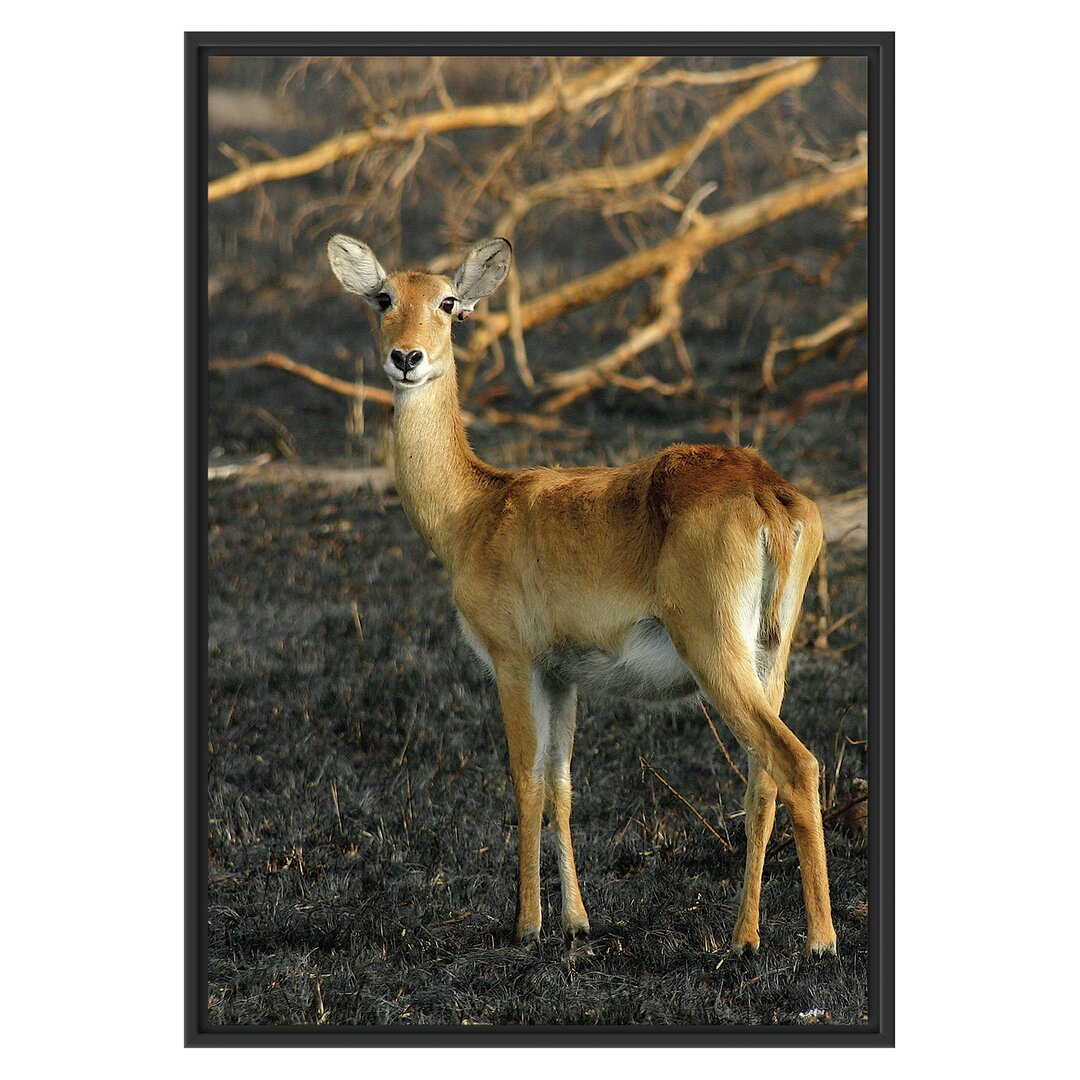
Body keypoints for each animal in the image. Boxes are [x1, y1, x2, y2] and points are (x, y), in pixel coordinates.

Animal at [326, 234, 833, 954]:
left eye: (448, 302)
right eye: (383, 297)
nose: (406, 358)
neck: (475, 509)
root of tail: (766, 491)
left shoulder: (513, 662)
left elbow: (526, 779)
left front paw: (527, 925)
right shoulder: (562, 674)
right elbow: (563, 784)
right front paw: (576, 920)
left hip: (715, 652)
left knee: (796, 762)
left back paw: (819, 939)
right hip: (772, 656)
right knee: (763, 776)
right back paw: (743, 936)